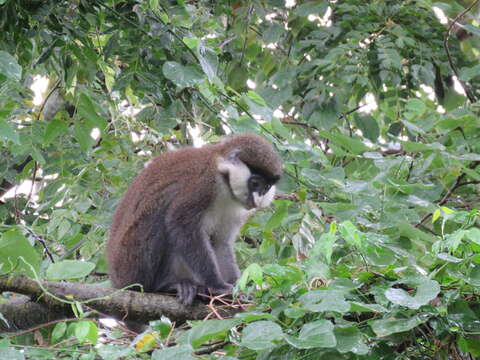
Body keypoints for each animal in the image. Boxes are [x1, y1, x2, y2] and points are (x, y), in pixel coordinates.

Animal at [106, 134, 282, 306]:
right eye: (255, 183)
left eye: (266, 187)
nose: (258, 199)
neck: (224, 181)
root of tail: (117, 280)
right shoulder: (203, 184)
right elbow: (181, 225)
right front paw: (217, 286)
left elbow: (220, 242)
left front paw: (237, 290)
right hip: (131, 265)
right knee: (160, 217)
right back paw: (165, 286)